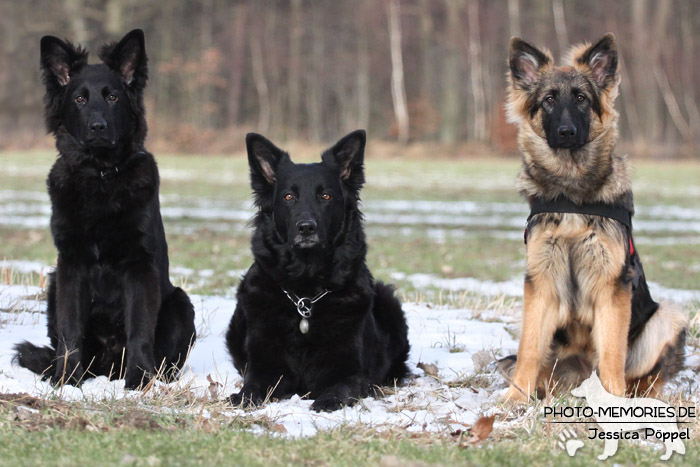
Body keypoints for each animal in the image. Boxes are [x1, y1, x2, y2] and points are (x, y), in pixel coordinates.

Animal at [15, 27, 196, 390]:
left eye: (112, 97)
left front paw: (138, 382)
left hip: (181, 304)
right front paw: (67, 381)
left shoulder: (139, 266)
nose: (97, 127)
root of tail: (106, 365)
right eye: (80, 99)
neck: (99, 176)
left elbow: (139, 329)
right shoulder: (70, 265)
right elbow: (70, 331)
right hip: (53, 284)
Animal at [224, 130, 410, 412]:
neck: (306, 292)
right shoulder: (264, 367)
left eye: (326, 196)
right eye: (289, 197)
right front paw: (241, 397)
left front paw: (326, 401)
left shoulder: (352, 372)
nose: (306, 228)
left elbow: (340, 388)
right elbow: (252, 386)